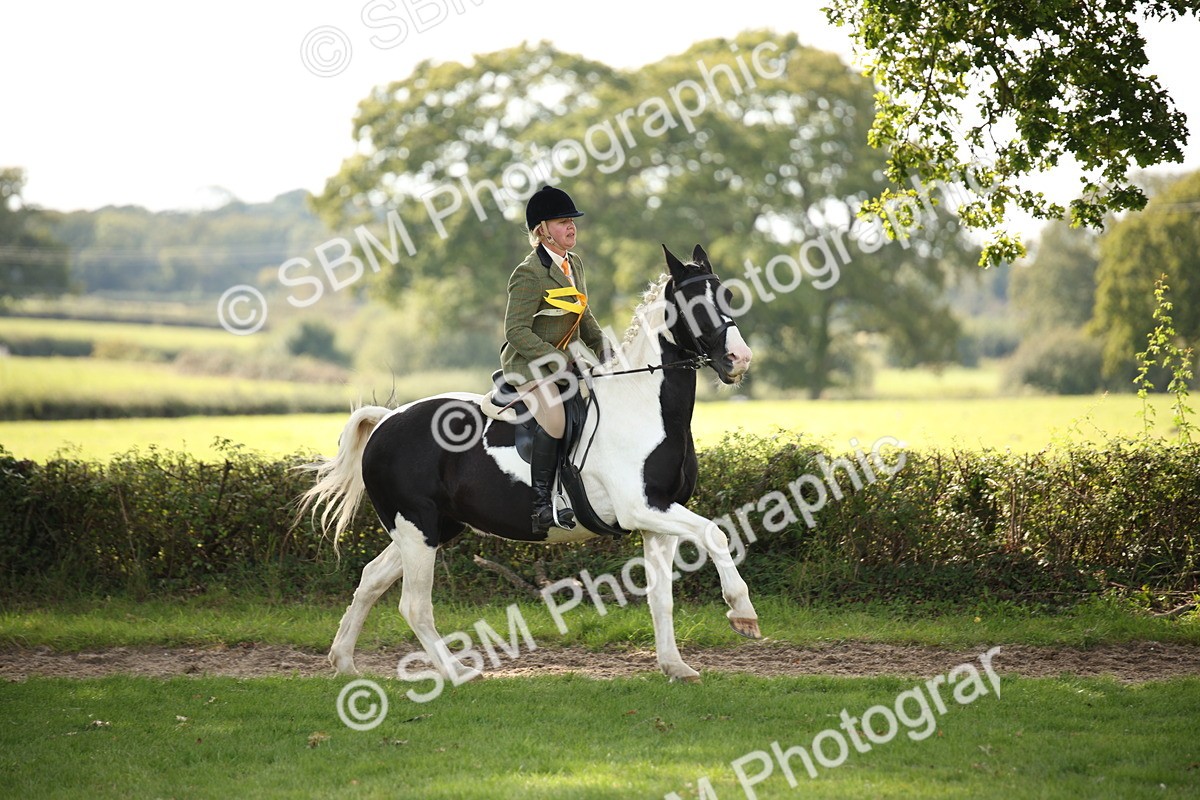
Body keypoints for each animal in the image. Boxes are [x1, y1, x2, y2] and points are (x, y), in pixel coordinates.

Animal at [297, 243, 761, 683]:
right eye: (693, 304)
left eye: (727, 296)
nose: (739, 359)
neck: (643, 404)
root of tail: (386, 421)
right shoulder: (641, 508)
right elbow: (716, 533)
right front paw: (742, 613)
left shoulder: (657, 520)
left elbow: (661, 596)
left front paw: (675, 666)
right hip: (416, 527)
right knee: (414, 605)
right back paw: (457, 673)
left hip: (431, 528)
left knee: (371, 578)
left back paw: (344, 662)